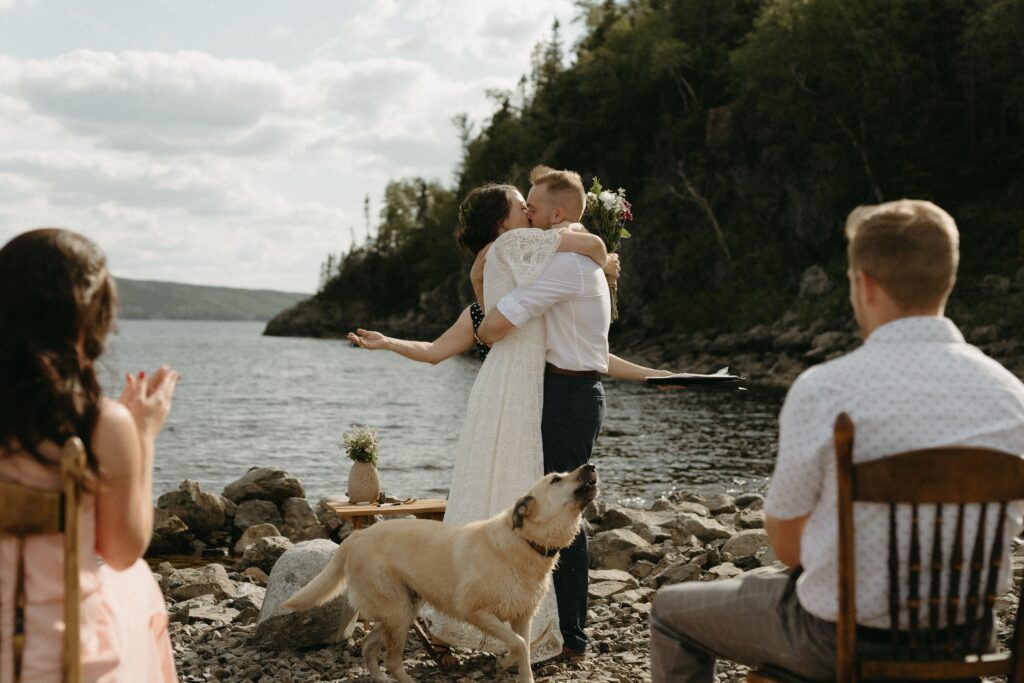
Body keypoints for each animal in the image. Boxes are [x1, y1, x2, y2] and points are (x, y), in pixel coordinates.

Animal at [282, 464, 598, 683]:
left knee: (368, 645)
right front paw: (502, 663)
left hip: (403, 608)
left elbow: (524, 650)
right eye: (556, 479)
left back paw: (381, 678)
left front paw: (509, 669)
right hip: (397, 610)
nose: (591, 466)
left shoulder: (523, 616)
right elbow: (519, 645)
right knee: (392, 660)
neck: (525, 541)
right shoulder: (477, 612)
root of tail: (355, 538)